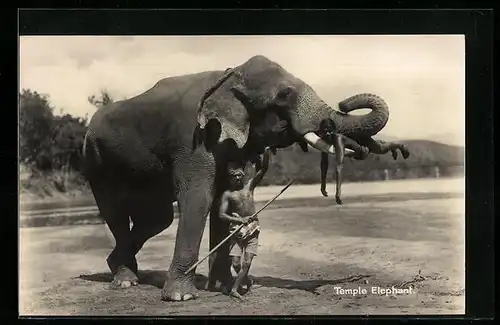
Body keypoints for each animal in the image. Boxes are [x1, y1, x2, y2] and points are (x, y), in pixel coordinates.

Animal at [84, 54, 390, 300]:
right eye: (284, 94)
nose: (344, 103)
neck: (228, 75)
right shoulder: (192, 138)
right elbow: (199, 197)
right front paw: (181, 297)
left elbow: (220, 197)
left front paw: (222, 287)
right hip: (95, 160)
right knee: (116, 211)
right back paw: (125, 280)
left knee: (158, 218)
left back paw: (119, 267)